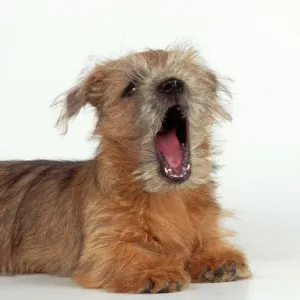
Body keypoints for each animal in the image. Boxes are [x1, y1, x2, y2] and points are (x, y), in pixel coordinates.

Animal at [0, 46, 251, 292]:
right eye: (130, 88)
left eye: (182, 73)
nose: (173, 83)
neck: (166, 195)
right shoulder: (102, 246)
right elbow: (128, 252)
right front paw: (154, 269)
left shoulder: (204, 227)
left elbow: (205, 240)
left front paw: (217, 258)